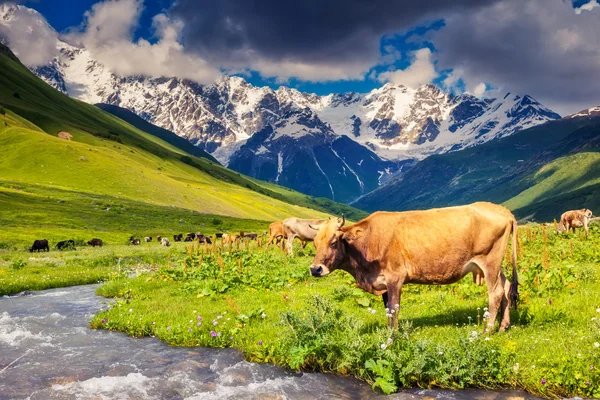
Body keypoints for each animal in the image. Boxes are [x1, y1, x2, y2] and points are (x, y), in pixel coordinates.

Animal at [308, 202, 516, 332]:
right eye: (315, 243)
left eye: (334, 242)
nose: (315, 269)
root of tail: (502, 210)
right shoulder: (383, 282)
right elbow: (388, 310)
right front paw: (389, 332)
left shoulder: (395, 278)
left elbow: (394, 308)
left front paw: (392, 338)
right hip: (496, 266)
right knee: (506, 287)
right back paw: (503, 326)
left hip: (490, 262)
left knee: (496, 293)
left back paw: (487, 331)